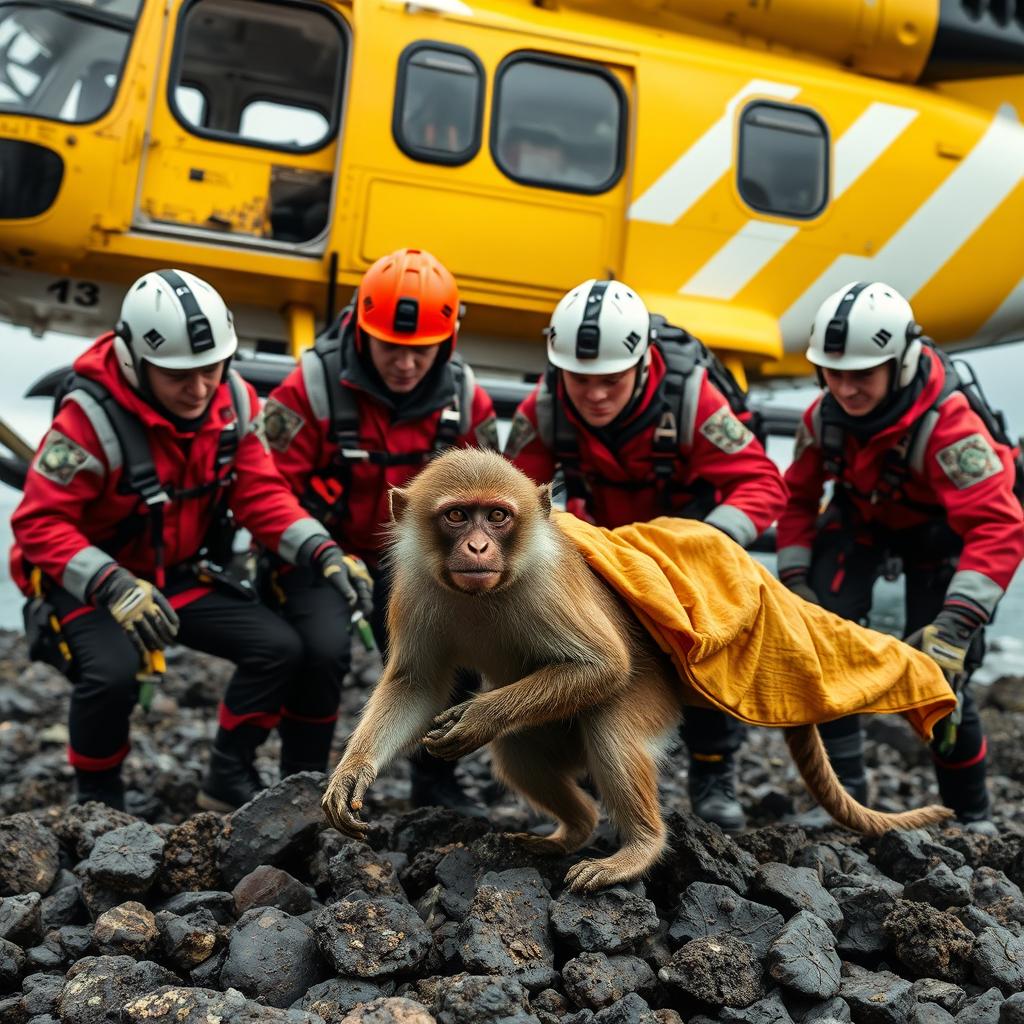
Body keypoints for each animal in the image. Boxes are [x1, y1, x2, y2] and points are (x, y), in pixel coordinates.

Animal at [322, 448, 952, 894]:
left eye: (497, 517)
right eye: (457, 516)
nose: (477, 547)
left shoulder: (545, 586)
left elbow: (604, 666)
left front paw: (475, 717)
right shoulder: (415, 588)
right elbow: (416, 684)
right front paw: (352, 773)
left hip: (655, 699)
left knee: (612, 724)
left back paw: (639, 848)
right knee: (520, 750)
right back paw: (573, 830)